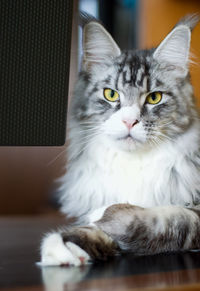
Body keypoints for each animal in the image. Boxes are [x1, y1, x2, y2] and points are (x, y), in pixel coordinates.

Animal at [39, 14, 200, 268]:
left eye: (154, 97)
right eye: (111, 94)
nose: (129, 121)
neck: (133, 164)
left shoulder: (188, 214)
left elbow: (167, 218)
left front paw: (104, 212)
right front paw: (65, 246)